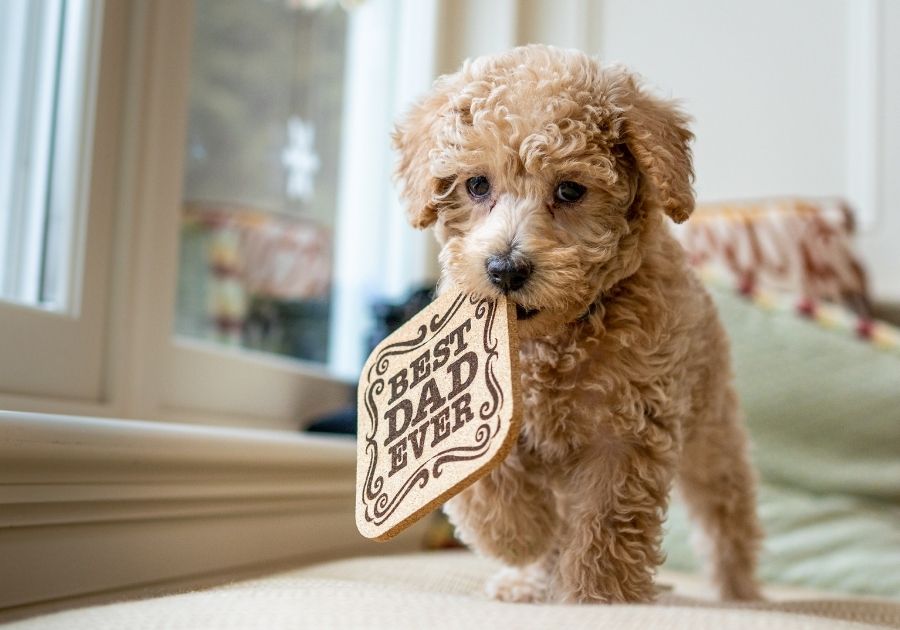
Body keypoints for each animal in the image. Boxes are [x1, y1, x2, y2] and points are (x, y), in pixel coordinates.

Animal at [392, 45, 760, 608]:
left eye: (569, 190)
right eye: (477, 185)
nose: (505, 270)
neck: (556, 338)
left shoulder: (627, 433)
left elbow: (606, 524)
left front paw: (597, 597)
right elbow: (488, 478)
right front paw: (519, 536)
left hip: (711, 432)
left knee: (727, 515)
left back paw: (739, 592)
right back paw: (530, 577)